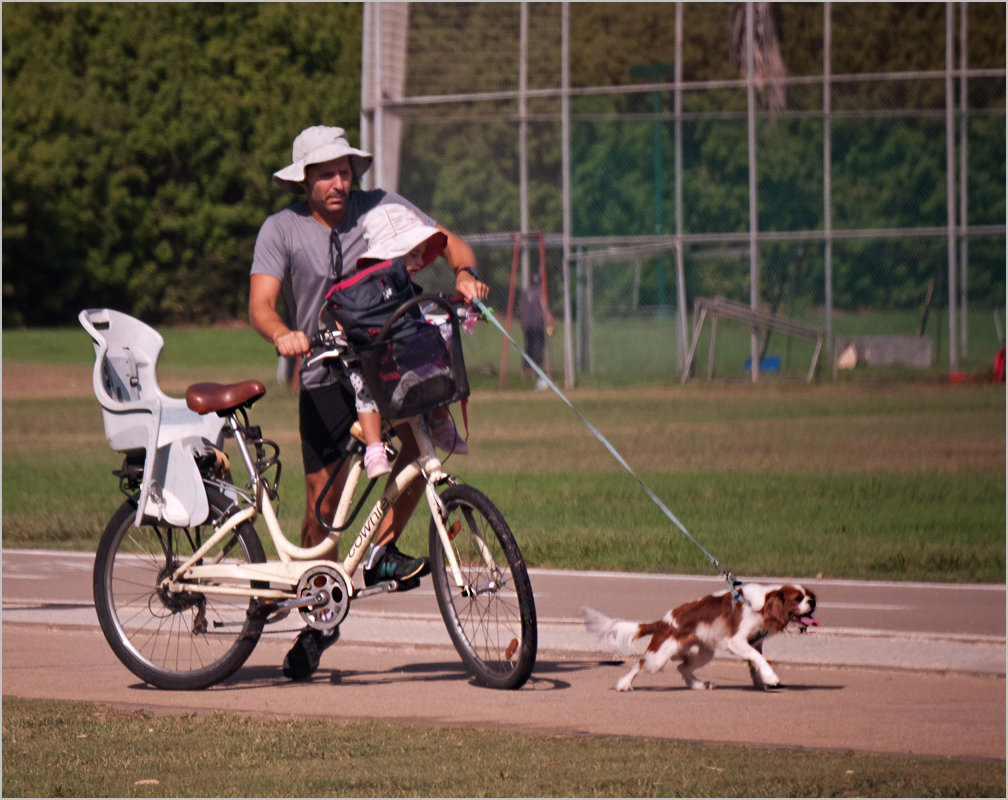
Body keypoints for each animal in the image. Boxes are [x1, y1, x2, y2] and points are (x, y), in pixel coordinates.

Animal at [584, 584, 818, 689]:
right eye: (798, 598)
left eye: (810, 596)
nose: (813, 602)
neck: (760, 605)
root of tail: (664, 621)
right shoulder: (736, 641)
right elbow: (759, 659)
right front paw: (771, 678)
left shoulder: (755, 642)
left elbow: (756, 661)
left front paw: (762, 681)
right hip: (659, 657)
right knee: (640, 663)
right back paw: (624, 683)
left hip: (704, 652)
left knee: (682, 667)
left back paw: (697, 685)